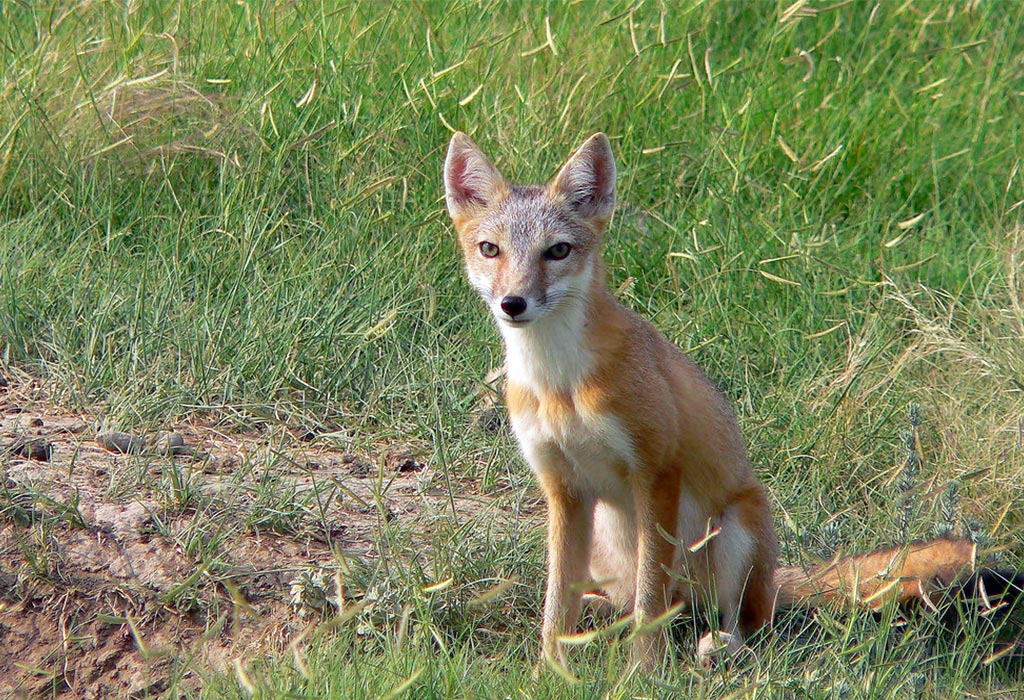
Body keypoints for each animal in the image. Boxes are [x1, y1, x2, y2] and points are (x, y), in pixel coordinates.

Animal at [442, 131, 1020, 669]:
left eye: (557, 250)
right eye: (490, 249)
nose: (513, 303)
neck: (559, 384)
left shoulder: (657, 471)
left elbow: (650, 601)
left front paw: (642, 673)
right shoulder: (563, 488)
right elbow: (556, 604)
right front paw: (551, 670)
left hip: (734, 535)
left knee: (740, 622)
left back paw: (722, 647)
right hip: (606, 540)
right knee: (637, 602)